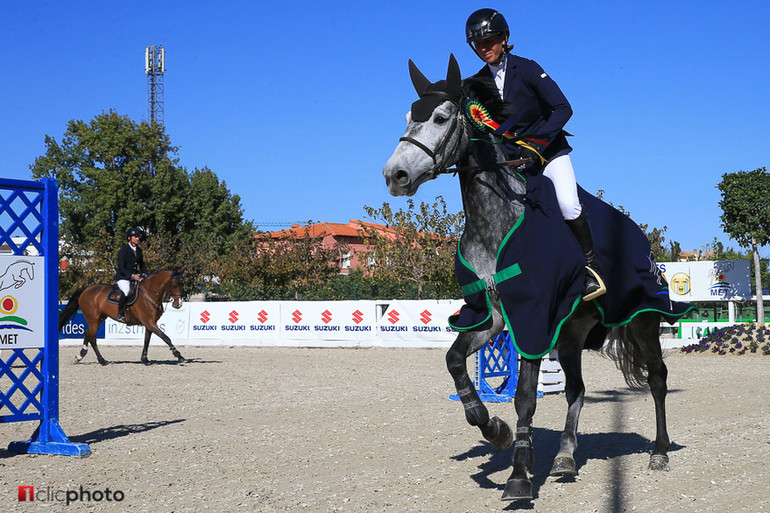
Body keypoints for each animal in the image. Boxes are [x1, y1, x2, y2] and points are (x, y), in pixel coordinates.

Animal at [380, 55, 688, 500]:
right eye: (408, 117)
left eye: (440, 117)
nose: (395, 175)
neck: (492, 220)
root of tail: (642, 238)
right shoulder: (490, 316)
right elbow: (454, 360)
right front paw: (493, 428)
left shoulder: (533, 315)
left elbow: (525, 396)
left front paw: (520, 474)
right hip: (573, 332)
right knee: (577, 389)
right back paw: (565, 457)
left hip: (641, 318)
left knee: (658, 379)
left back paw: (659, 451)